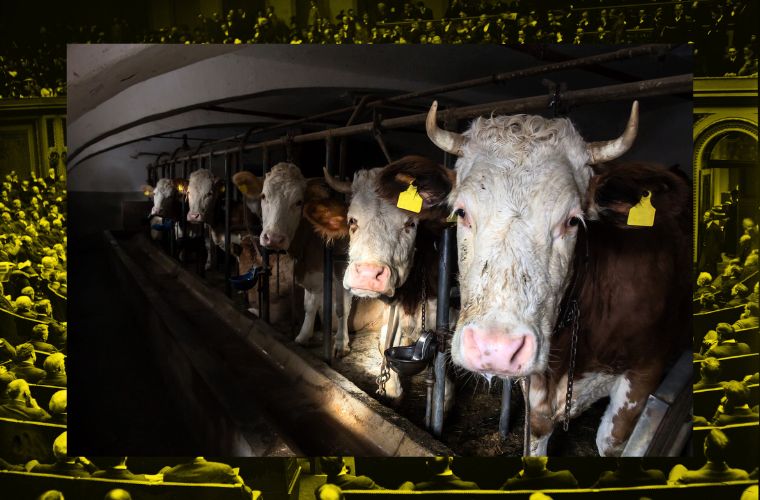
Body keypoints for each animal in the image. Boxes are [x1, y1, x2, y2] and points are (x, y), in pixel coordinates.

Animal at [232, 162, 353, 357]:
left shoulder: (342, 268)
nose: (273, 238)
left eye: (299, 202)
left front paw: (341, 343)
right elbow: (310, 304)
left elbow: (342, 308)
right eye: (263, 196)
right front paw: (303, 336)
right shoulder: (311, 271)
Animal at [381, 100, 691, 456]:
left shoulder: (646, 372)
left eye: (573, 220)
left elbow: (611, 442)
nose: (496, 349)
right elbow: (537, 435)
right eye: (461, 212)